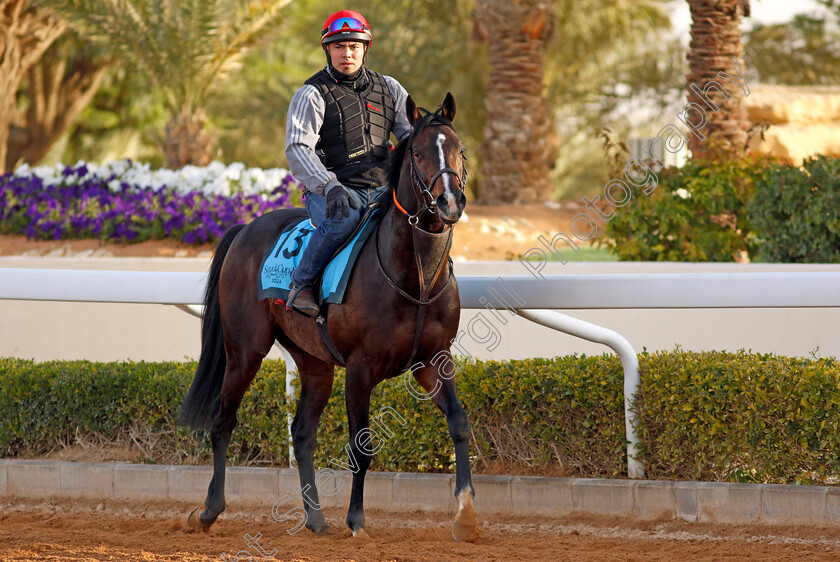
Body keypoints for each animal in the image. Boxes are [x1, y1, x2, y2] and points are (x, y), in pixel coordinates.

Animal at [179, 92, 480, 540]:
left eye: (459, 149)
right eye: (419, 152)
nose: (450, 202)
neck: (417, 279)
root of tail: (245, 229)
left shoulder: (433, 360)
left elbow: (459, 422)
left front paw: (466, 514)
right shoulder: (360, 368)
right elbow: (361, 445)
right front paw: (356, 520)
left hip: (313, 362)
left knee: (302, 433)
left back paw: (315, 517)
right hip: (245, 350)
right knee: (222, 419)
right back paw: (210, 509)